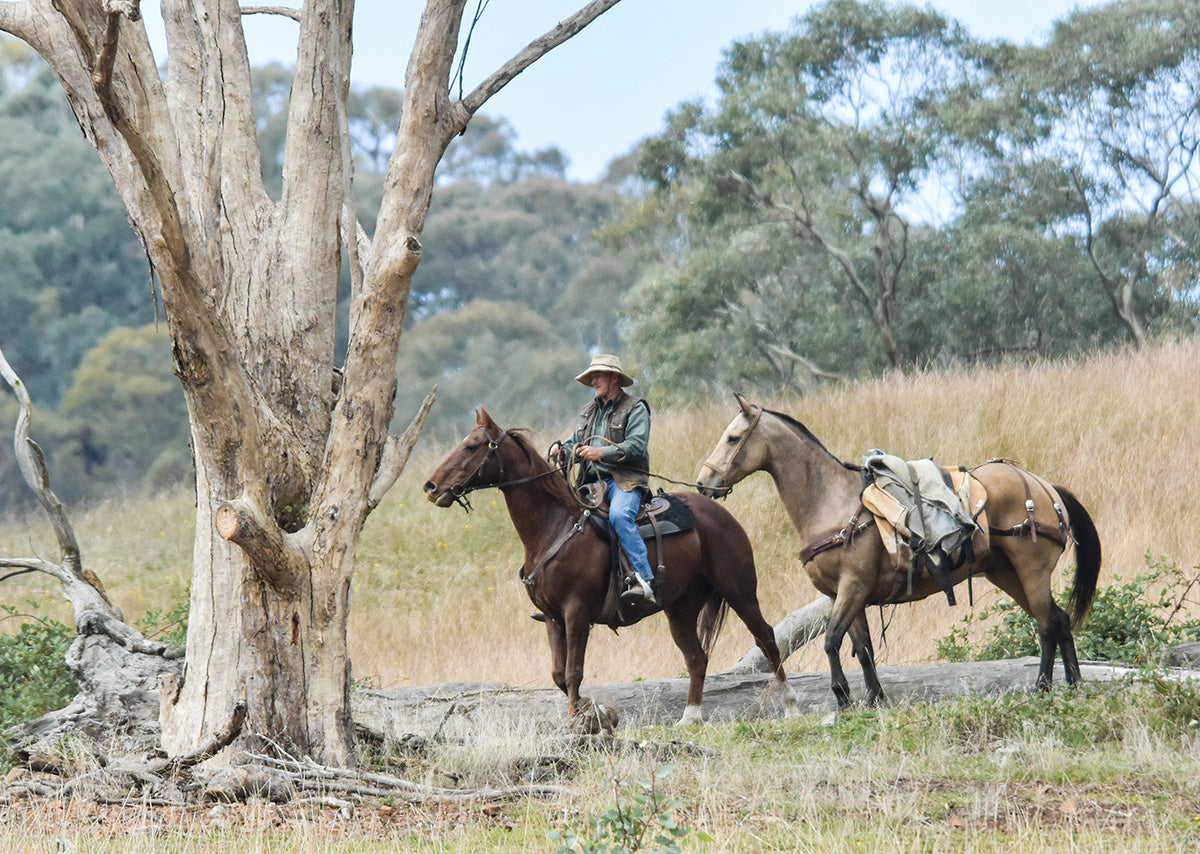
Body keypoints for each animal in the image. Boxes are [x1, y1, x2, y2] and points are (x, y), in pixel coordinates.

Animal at [422, 407, 796, 729]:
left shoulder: (576, 613)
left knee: (765, 637)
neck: (554, 528)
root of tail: (720, 513)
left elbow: (574, 672)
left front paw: (578, 719)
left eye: (472, 446)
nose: (431, 487)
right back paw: (690, 716)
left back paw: (789, 702)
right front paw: (595, 711)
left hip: (740, 590)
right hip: (680, 608)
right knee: (696, 657)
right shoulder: (553, 618)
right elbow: (558, 674)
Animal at [700, 395, 1099, 710]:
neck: (830, 503)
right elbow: (863, 649)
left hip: (1031, 572)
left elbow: (831, 641)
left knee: (1046, 625)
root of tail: (1044, 487)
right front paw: (874, 699)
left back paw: (1043, 687)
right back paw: (1074, 685)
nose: (704, 483)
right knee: (1060, 619)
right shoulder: (844, 594)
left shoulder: (852, 587)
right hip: (1006, 574)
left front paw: (843, 697)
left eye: (733, 437)